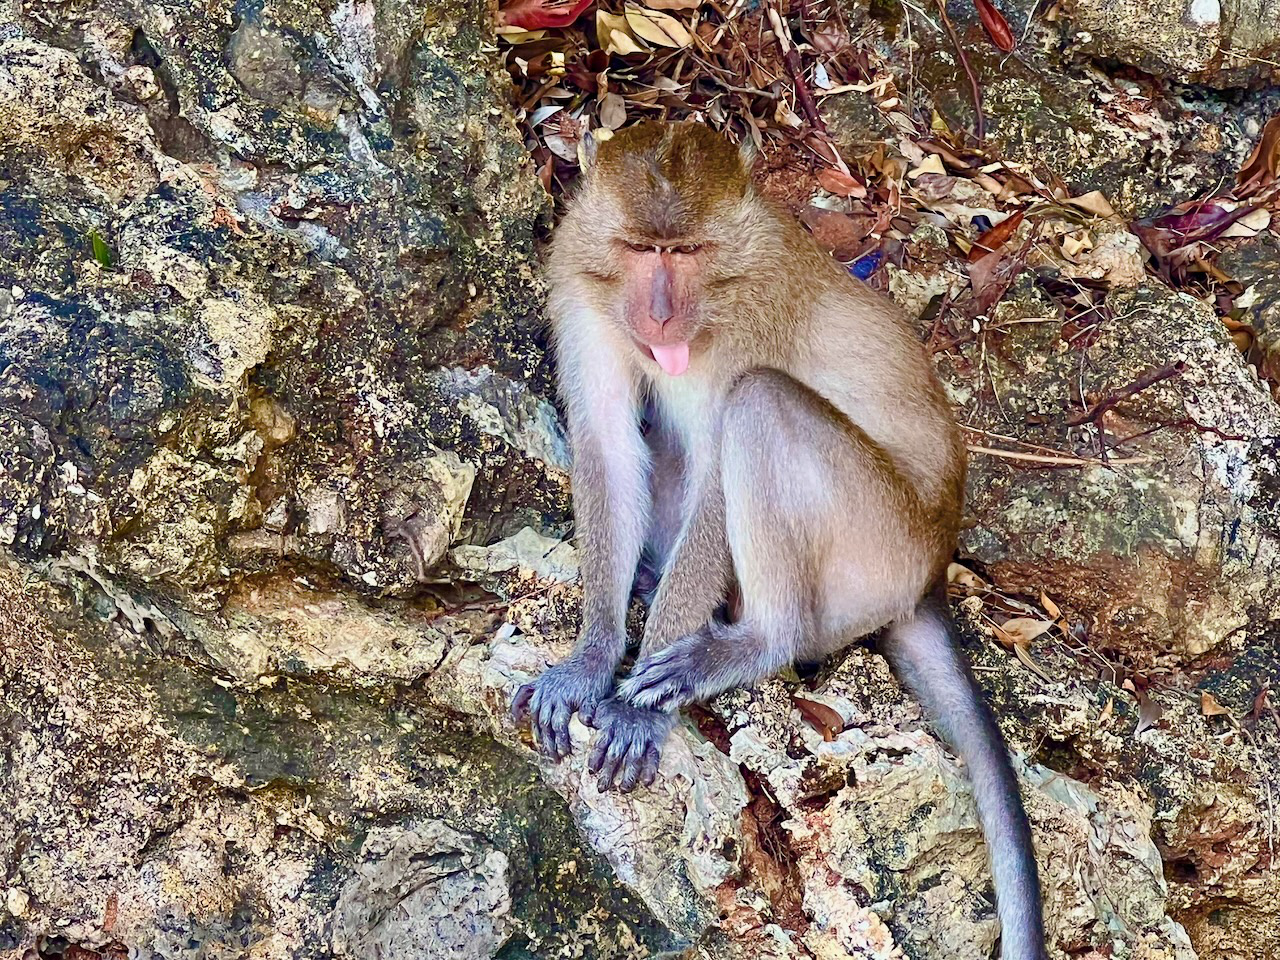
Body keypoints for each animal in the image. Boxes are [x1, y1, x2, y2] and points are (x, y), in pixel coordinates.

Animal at [512, 120, 1047, 960]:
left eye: (687, 253)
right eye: (640, 248)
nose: (658, 316)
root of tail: (933, 564)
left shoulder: (750, 320)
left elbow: (715, 476)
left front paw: (636, 710)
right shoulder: (579, 282)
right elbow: (606, 444)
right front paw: (591, 660)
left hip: (876, 543)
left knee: (759, 404)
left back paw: (753, 641)